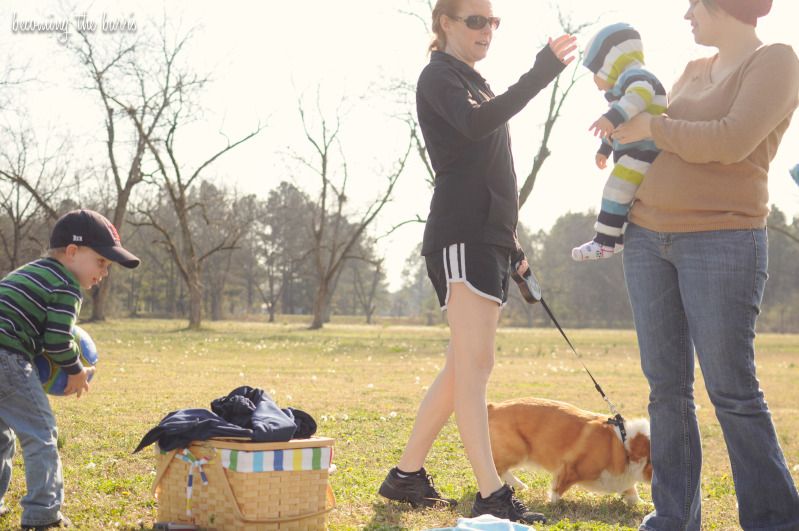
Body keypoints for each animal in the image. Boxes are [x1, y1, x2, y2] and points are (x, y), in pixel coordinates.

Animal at [488, 396, 648, 504]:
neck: (624, 444)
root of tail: (492, 407)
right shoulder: (570, 468)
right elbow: (558, 489)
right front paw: (553, 502)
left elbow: (633, 494)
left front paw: (643, 505)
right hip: (517, 451)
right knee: (497, 468)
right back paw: (519, 484)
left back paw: (520, 486)